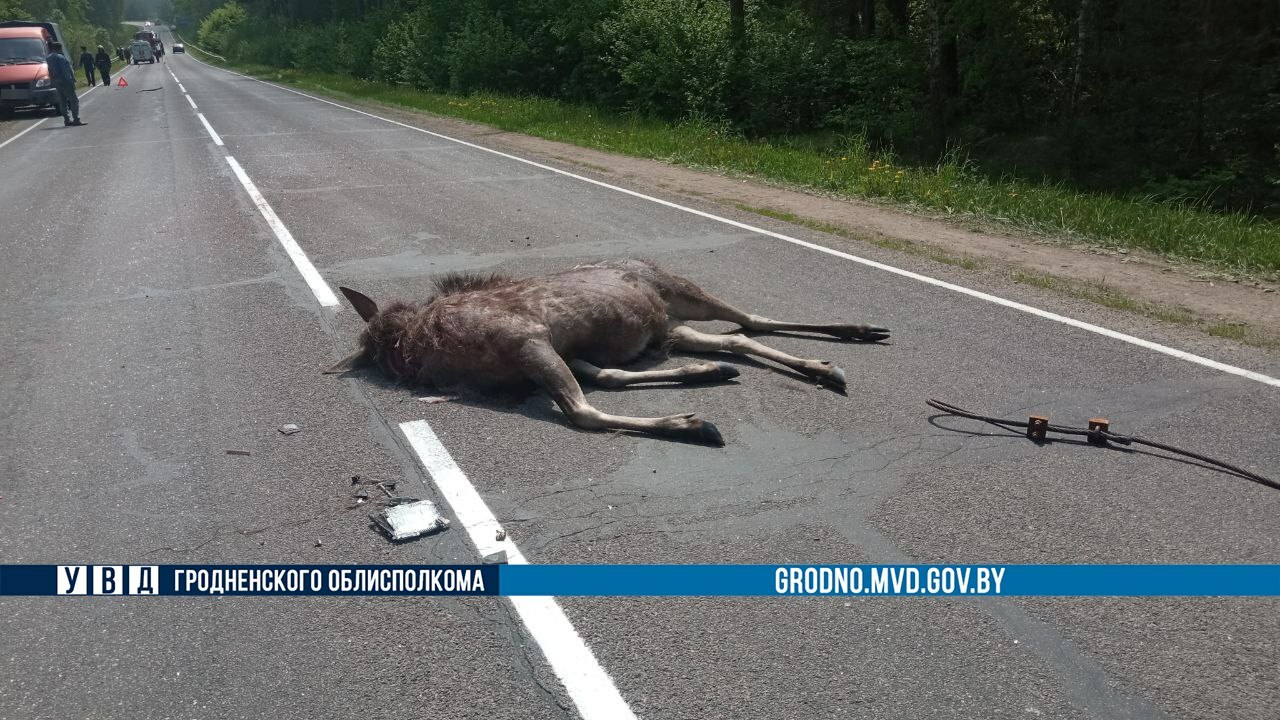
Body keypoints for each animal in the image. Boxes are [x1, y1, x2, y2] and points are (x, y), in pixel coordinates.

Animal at [330, 258, 890, 443]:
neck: (420, 346)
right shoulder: (561, 353)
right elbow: (605, 382)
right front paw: (695, 395)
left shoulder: (529, 339)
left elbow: (584, 411)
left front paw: (691, 422)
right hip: (669, 326)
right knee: (737, 337)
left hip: (680, 290)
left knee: (751, 318)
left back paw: (856, 334)